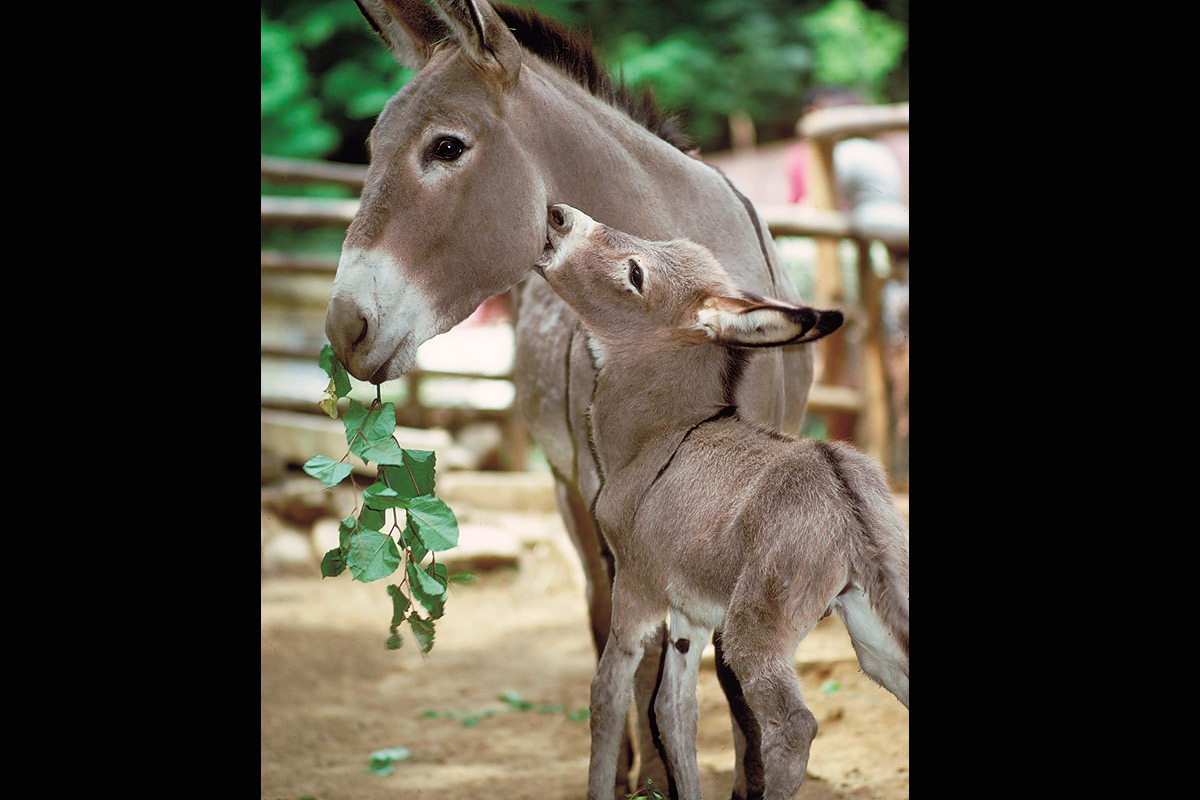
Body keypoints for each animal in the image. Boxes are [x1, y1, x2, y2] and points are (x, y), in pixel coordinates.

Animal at [535, 203, 907, 796]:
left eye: (636, 274)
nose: (558, 214)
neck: (660, 432)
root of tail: (845, 491)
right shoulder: (689, 610)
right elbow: (672, 711)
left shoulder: (634, 587)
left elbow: (607, 695)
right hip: (873, 622)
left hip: (754, 628)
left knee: (793, 726)